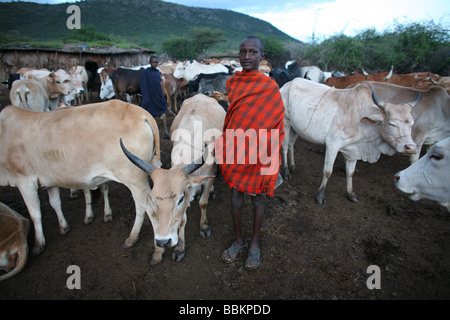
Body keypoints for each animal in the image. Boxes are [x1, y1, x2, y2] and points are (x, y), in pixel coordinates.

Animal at [284, 79, 420, 204]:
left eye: (411, 124)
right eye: (392, 123)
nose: (411, 147)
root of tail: (290, 82)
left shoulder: (353, 150)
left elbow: (350, 172)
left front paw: (350, 193)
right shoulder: (333, 144)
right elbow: (328, 171)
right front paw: (320, 195)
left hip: (296, 128)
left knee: (291, 144)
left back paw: (293, 167)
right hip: (286, 122)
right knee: (284, 146)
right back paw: (286, 171)